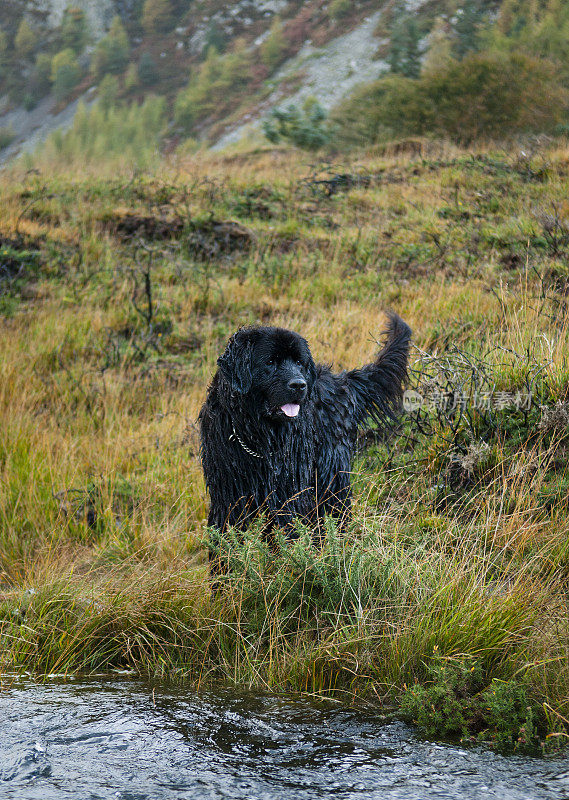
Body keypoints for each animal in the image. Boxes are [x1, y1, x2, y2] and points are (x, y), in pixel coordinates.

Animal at [199, 312, 408, 568]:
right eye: (270, 362)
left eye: (299, 362)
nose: (299, 385)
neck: (258, 438)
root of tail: (342, 383)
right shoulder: (228, 496)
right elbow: (224, 537)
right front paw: (223, 576)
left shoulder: (288, 496)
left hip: (330, 477)